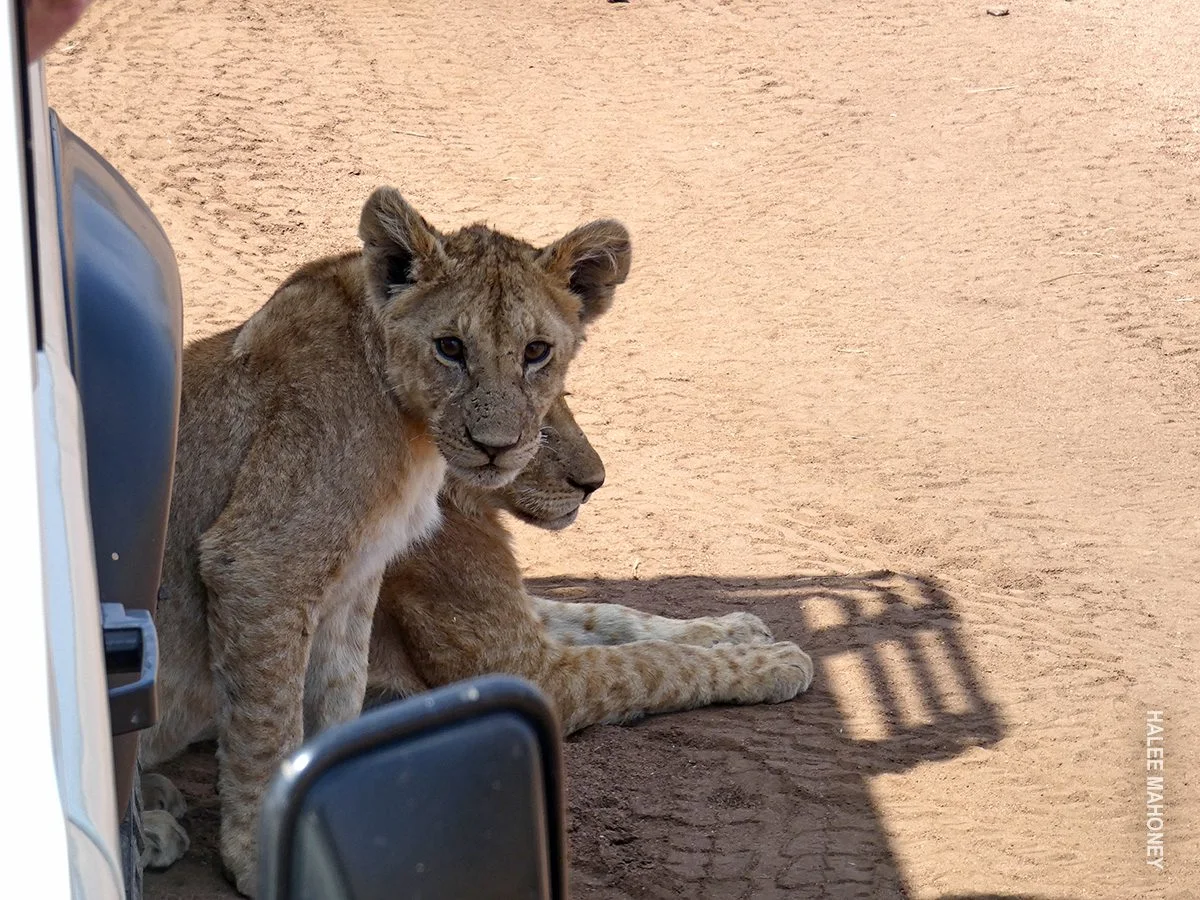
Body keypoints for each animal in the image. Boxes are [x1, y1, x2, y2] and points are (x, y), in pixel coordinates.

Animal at [139, 187, 631, 895]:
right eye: (450, 347)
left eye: (537, 352)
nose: (496, 447)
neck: (413, 434)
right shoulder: (259, 563)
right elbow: (267, 725)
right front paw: (260, 857)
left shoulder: (357, 579)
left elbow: (339, 692)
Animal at [140, 395, 814, 874]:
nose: (595, 483)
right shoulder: (527, 669)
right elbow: (653, 663)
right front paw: (777, 661)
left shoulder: (521, 623)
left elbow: (615, 615)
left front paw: (737, 627)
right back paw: (153, 829)